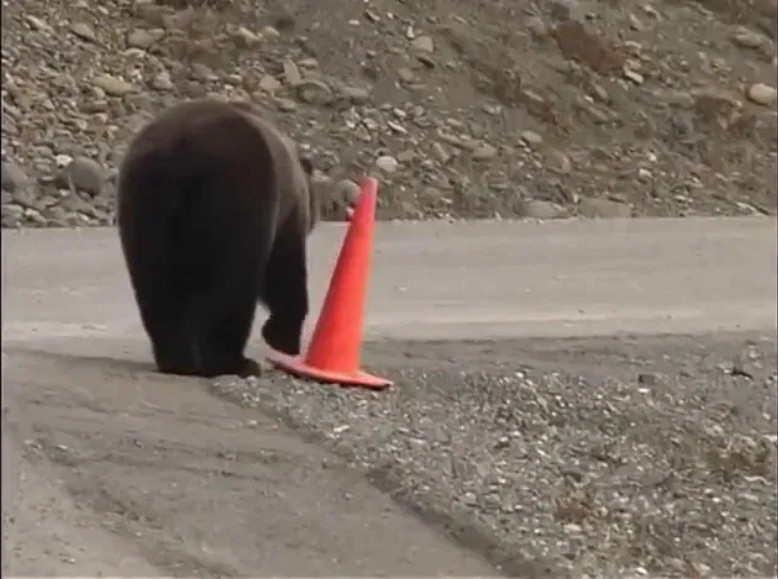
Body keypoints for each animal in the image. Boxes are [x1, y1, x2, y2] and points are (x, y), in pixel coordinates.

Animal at [116, 98, 316, 380]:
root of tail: (178, 153)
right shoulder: (285, 214)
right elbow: (284, 271)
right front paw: (284, 337)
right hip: (237, 193)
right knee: (233, 282)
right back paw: (233, 362)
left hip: (143, 203)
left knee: (154, 283)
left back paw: (178, 360)